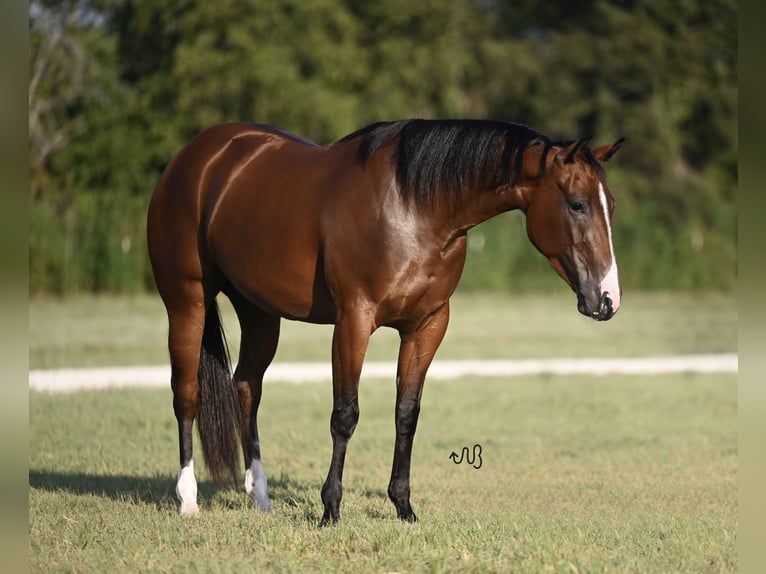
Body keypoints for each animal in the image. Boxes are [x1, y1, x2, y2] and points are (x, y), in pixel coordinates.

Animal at [147, 118, 628, 528]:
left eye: (611, 206)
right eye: (578, 204)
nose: (607, 298)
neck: (416, 206)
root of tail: (197, 156)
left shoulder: (427, 325)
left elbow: (406, 413)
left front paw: (403, 507)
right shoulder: (354, 320)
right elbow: (345, 414)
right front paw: (330, 510)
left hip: (260, 312)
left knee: (247, 387)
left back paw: (261, 498)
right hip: (187, 300)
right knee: (186, 393)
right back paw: (188, 500)